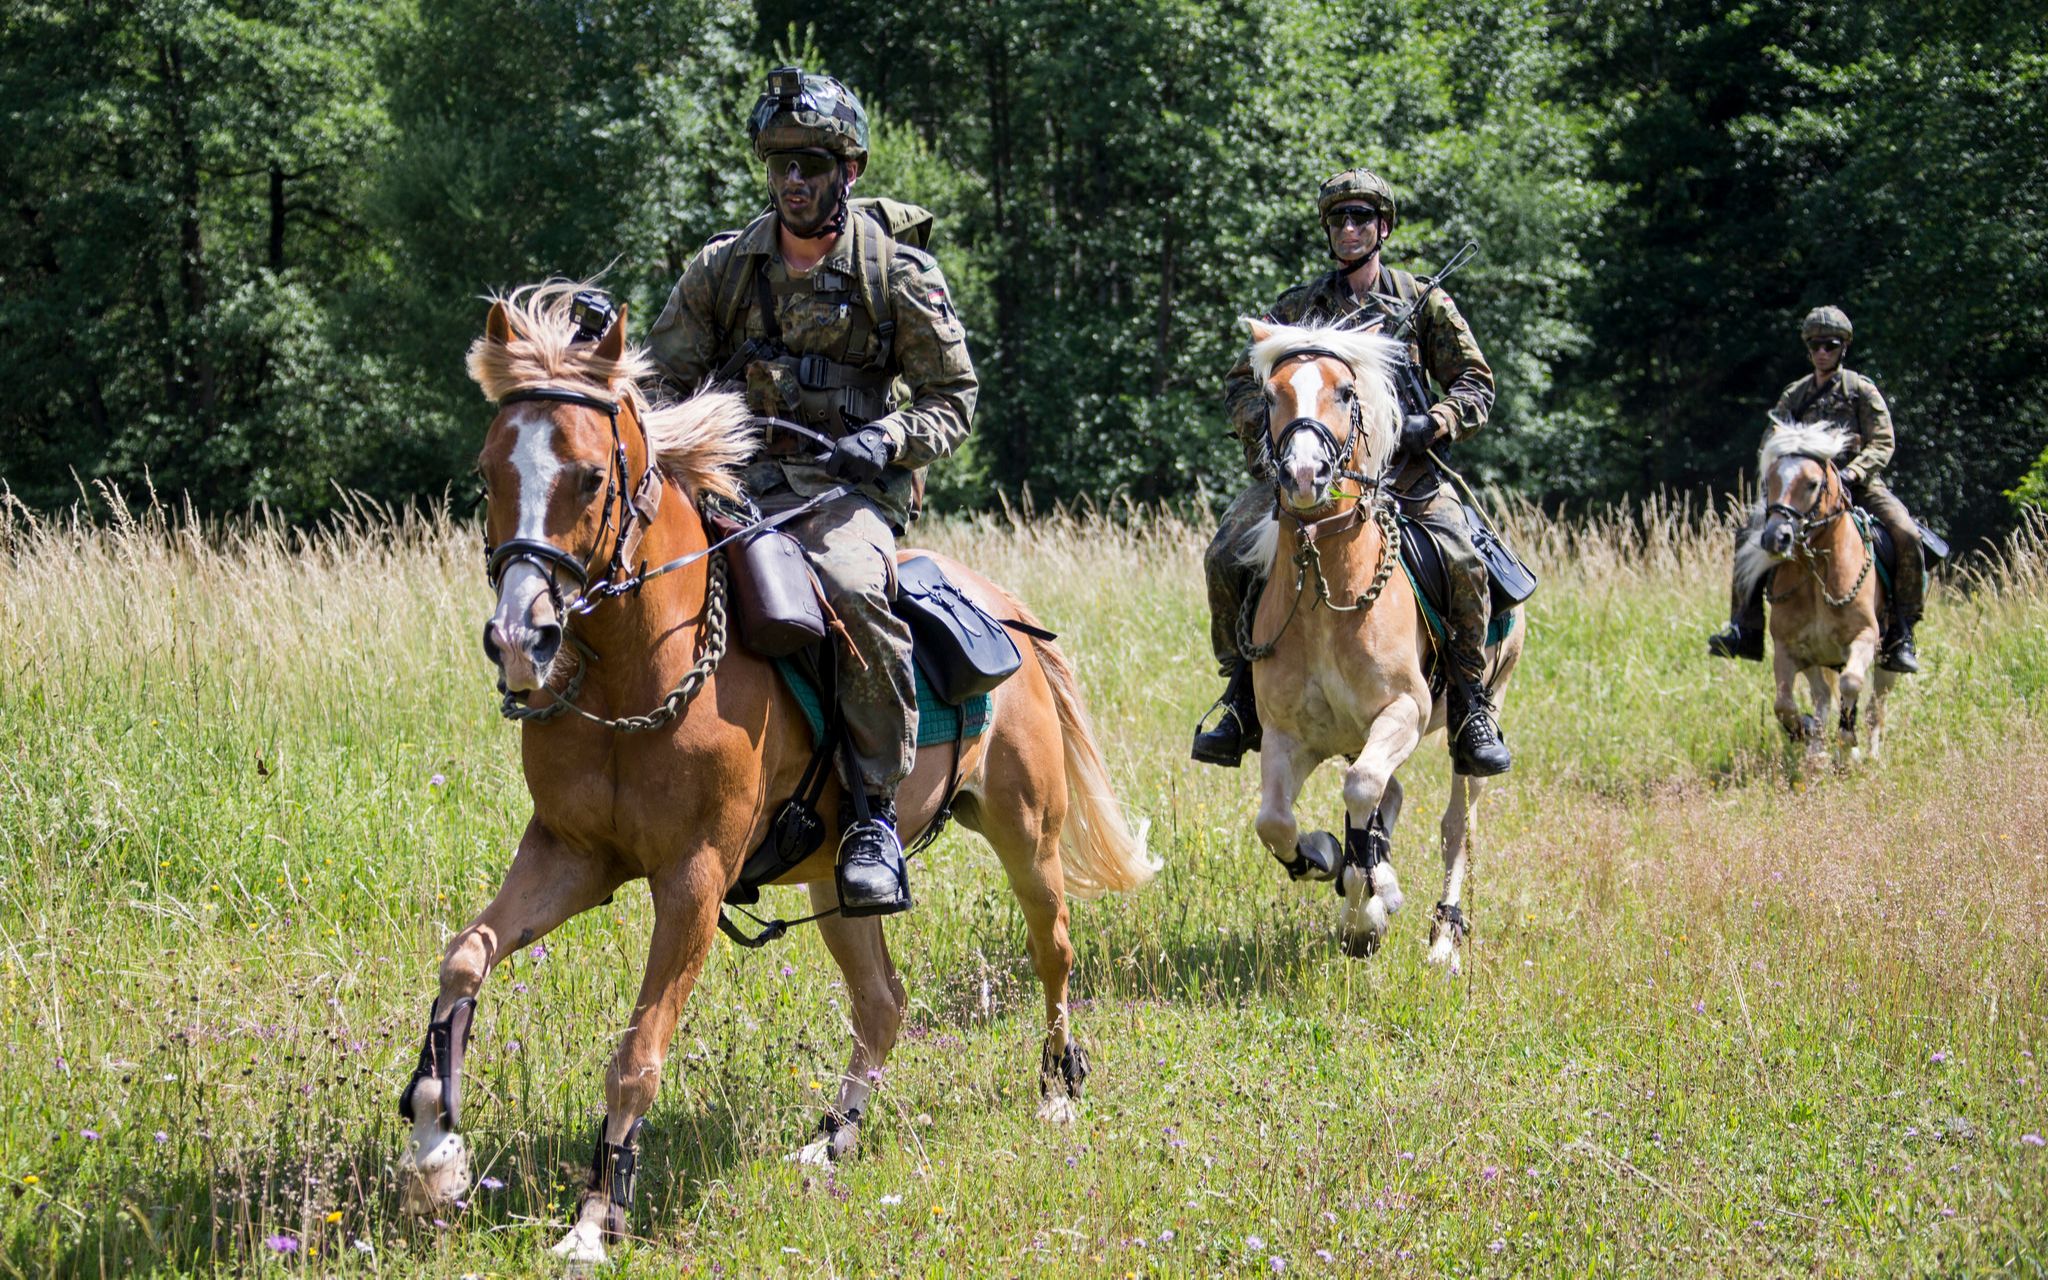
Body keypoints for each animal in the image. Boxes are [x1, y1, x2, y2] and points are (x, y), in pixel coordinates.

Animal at [391, 282, 1146, 1269]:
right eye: (488, 475)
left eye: (589, 477)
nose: (522, 640)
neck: (644, 669)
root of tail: (1005, 608)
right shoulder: (571, 856)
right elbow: (465, 957)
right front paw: (434, 1149)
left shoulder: (694, 881)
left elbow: (636, 1054)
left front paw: (596, 1219)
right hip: (837, 879)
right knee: (883, 1002)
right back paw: (835, 1139)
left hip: (1028, 834)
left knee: (1052, 949)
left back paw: (1058, 1091)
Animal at [1228, 319, 1523, 966]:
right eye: (1271, 395)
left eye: (1344, 392)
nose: (1304, 475)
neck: (1326, 588)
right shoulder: (1288, 736)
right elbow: (1274, 821)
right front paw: (1324, 859)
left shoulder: (1404, 711)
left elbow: (1363, 787)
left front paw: (1370, 903)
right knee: (1390, 795)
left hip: (1477, 715)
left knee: (1453, 822)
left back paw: (1442, 940)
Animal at [1744, 413, 1900, 761]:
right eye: (1769, 480)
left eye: (1812, 483)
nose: (1776, 538)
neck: (1818, 575)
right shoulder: (1789, 649)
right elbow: (1784, 704)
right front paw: (1805, 731)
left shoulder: (1865, 638)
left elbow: (1852, 684)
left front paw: (1849, 744)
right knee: (1823, 695)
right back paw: (1816, 751)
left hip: (1888, 658)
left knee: (1876, 705)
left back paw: (1870, 753)